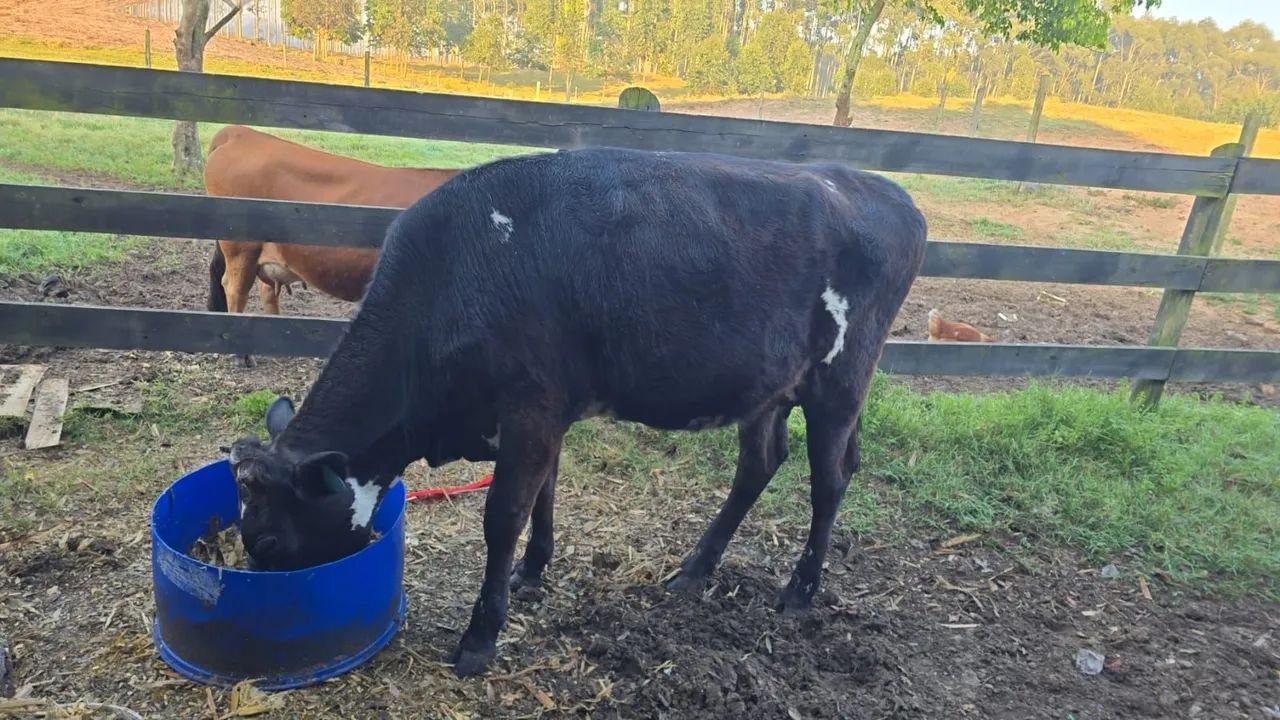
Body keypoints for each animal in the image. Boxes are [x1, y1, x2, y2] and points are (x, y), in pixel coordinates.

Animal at [225, 146, 928, 677]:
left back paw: (799, 591)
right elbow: (546, 493)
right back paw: (693, 570)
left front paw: (481, 637)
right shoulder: (545, 415)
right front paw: (534, 570)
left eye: (267, 540)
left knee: (828, 481)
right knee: (760, 463)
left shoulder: (530, 410)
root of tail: (882, 188)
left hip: (840, 382)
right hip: (766, 386)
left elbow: (503, 514)